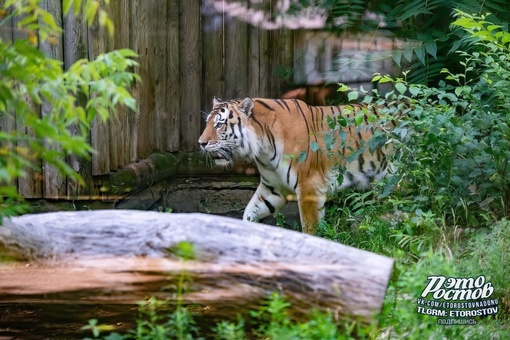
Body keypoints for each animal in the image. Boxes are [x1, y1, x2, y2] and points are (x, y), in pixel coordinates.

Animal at [197, 95, 400, 234]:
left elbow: (311, 228)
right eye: (207, 123)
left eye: (220, 124)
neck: (263, 148)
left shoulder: (310, 188)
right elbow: (249, 212)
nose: (200, 143)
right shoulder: (272, 189)